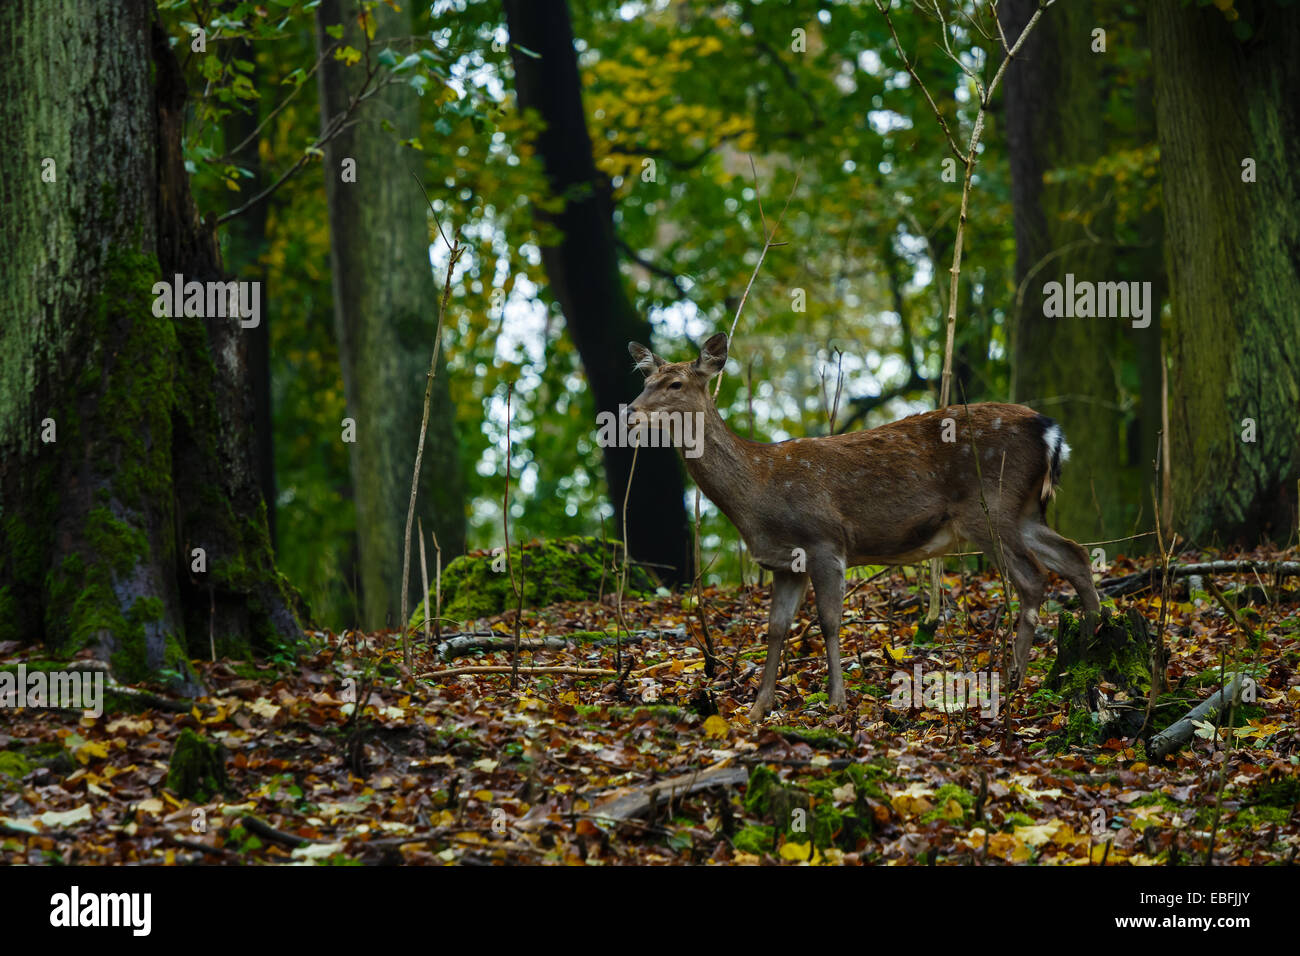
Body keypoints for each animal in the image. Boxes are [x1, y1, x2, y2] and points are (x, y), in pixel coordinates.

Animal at [626, 332, 1097, 723]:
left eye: (675, 384)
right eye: (646, 379)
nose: (630, 412)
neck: (759, 493)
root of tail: (1050, 431)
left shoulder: (824, 541)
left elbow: (830, 621)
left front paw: (836, 701)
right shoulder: (784, 563)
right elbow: (776, 629)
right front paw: (759, 708)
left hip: (990, 507)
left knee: (1033, 577)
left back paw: (1016, 678)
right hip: (1024, 511)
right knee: (1075, 554)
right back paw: (1091, 646)